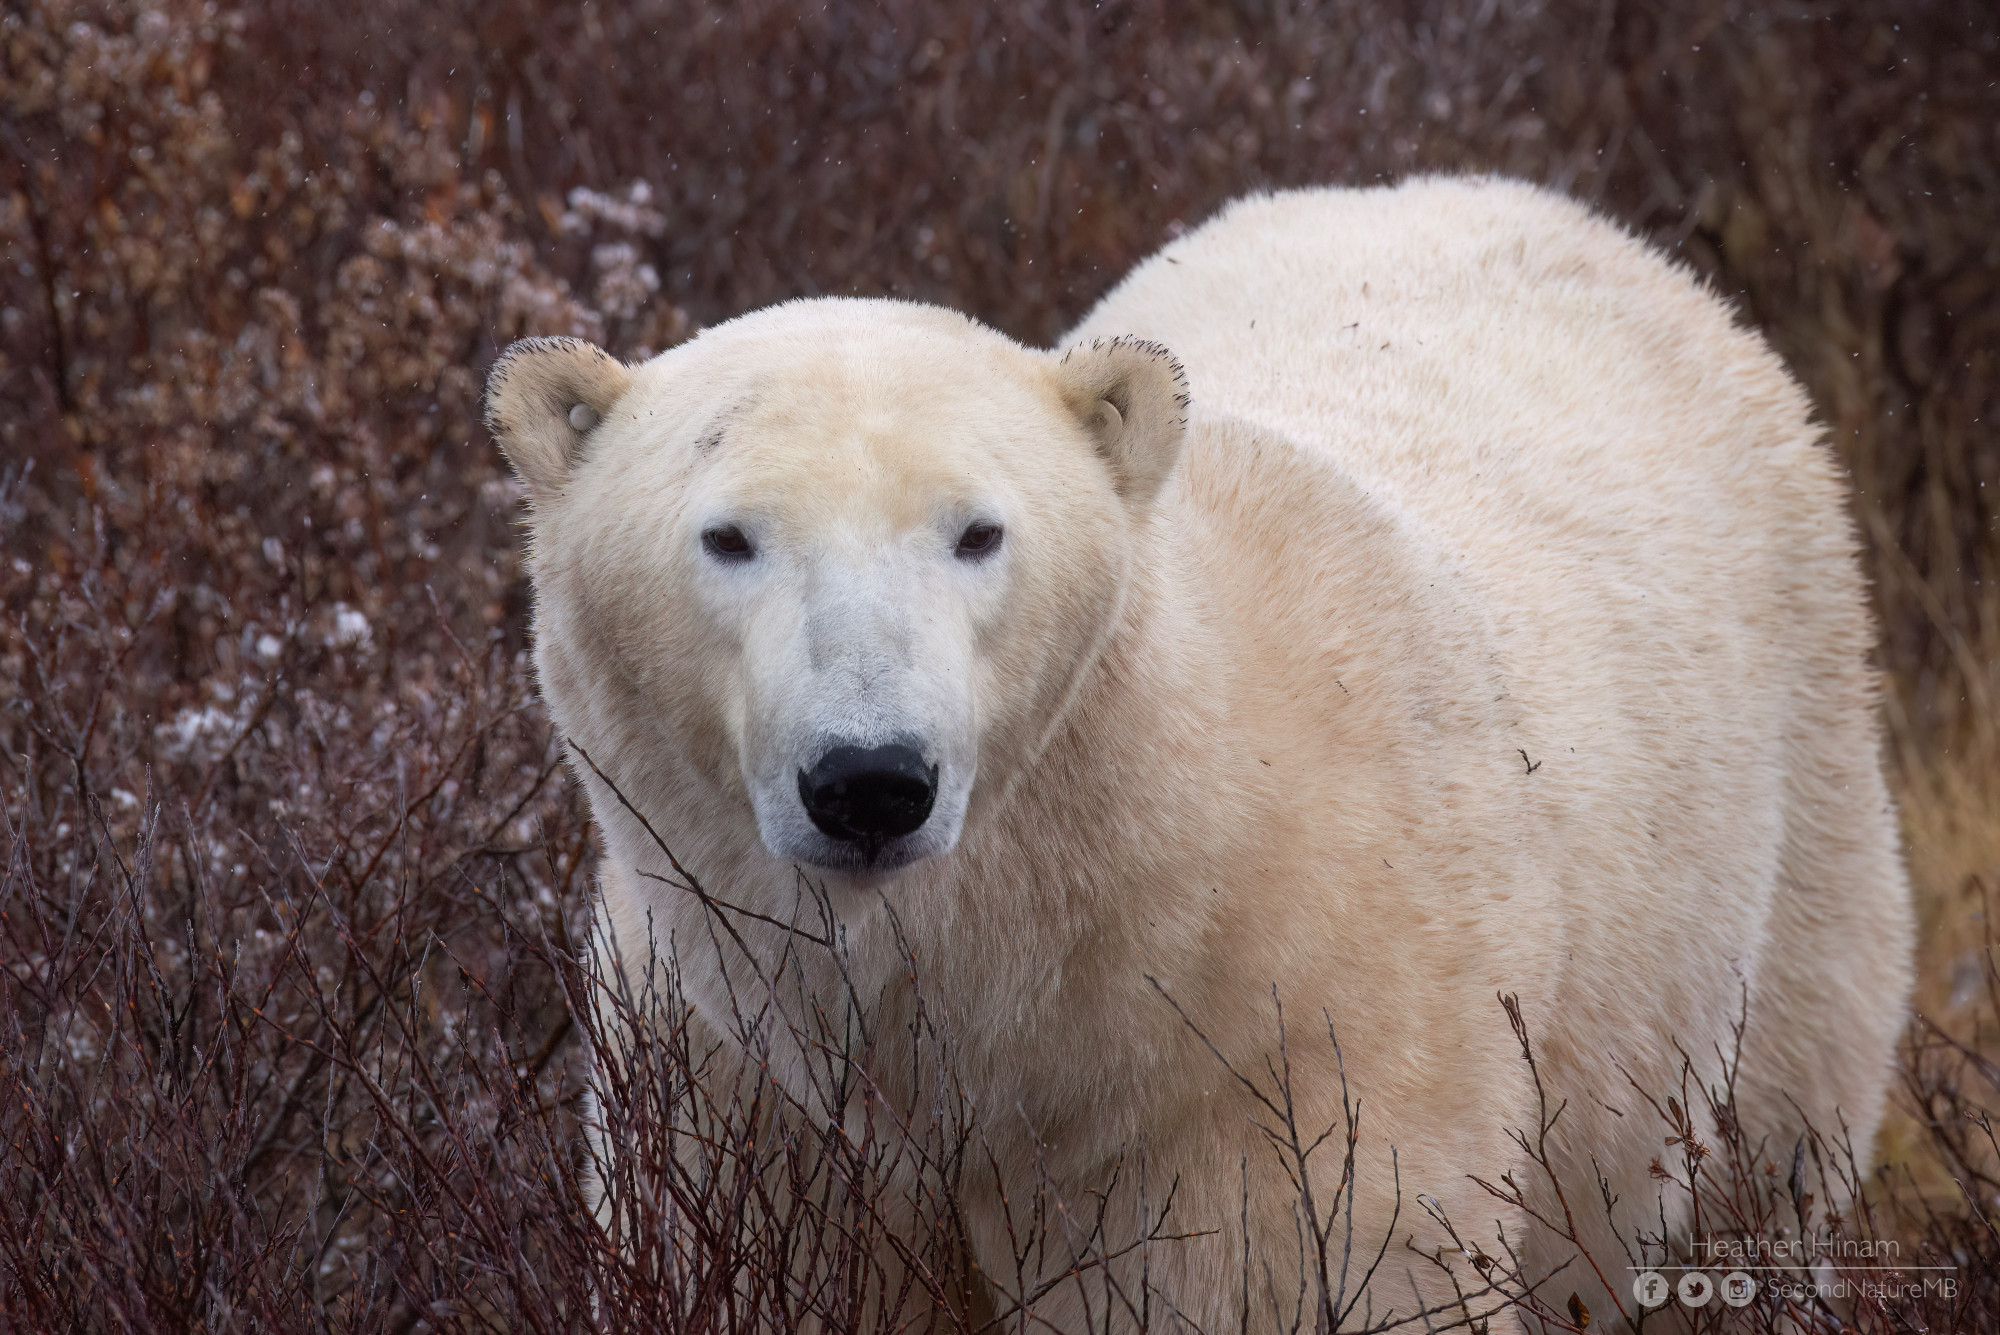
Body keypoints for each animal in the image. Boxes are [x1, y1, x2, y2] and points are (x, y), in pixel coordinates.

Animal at [484, 179, 1904, 1335]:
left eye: (976, 531)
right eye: (728, 537)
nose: (869, 779)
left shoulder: (1278, 1072)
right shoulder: (726, 1064)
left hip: (1788, 843)